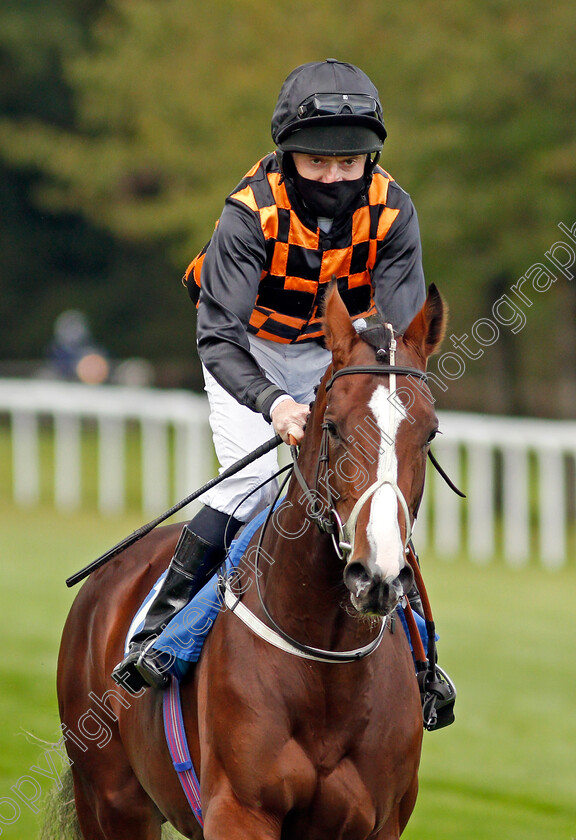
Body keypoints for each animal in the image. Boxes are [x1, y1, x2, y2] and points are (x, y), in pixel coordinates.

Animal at [57, 286, 446, 836]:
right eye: (332, 426)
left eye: (430, 433)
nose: (376, 575)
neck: (325, 664)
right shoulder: (240, 809)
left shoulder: (377, 821)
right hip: (109, 800)